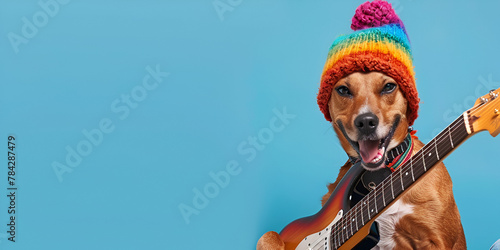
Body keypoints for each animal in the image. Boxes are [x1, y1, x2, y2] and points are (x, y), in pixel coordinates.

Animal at [258, 71, 468, 249]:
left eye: (389, 86)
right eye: (343, 90)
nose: (366, 121)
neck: (382, 176)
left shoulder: (437, 240)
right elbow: (270, 238)